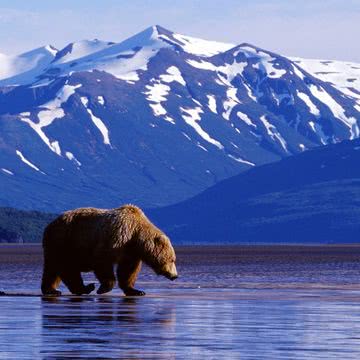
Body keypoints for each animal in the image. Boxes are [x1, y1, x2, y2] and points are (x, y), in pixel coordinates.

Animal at [40, 204, 177, 296]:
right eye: (172, 259)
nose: (175, 276)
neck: (135, 235)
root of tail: (49, 225)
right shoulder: (117, 238)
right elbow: (102, 260)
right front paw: (104, 288)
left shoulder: (130, 252)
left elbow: (128, 270)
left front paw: (136, 290)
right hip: (65, 241)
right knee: (66, 266)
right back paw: (85, 288)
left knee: (52, 269)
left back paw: (51, 289)